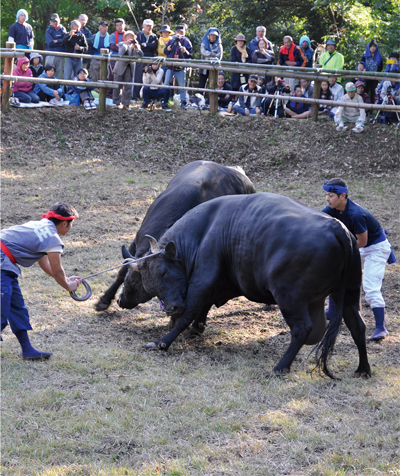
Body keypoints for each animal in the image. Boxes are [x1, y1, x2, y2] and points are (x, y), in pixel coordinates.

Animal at [95, 161, 255, 312]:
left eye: (140, 281)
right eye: (131, 278)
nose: (121, 300)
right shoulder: (136, 240)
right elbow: (121, 270)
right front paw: (104, 299)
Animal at [126, 193, 370, 380]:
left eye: (163, 272)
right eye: (149, 281)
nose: (171, 307)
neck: (202, 232)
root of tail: (338, 228)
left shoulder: (201, 280)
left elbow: (188, 314)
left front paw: (162, 343)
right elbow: (202, 309)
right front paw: (196, 329)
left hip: (291, 299)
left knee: (302, 329)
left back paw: (280, 367)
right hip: (347, 295)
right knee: (358, 326)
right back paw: (363, 369)